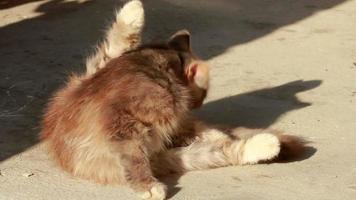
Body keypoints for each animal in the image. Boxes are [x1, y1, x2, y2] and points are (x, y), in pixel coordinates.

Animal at [39, 0, 306, 199]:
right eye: (203, 94)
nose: (198, 105)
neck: (156, 65)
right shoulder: (123, 121)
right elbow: (134, 158)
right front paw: (147, 186)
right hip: (173, 155)